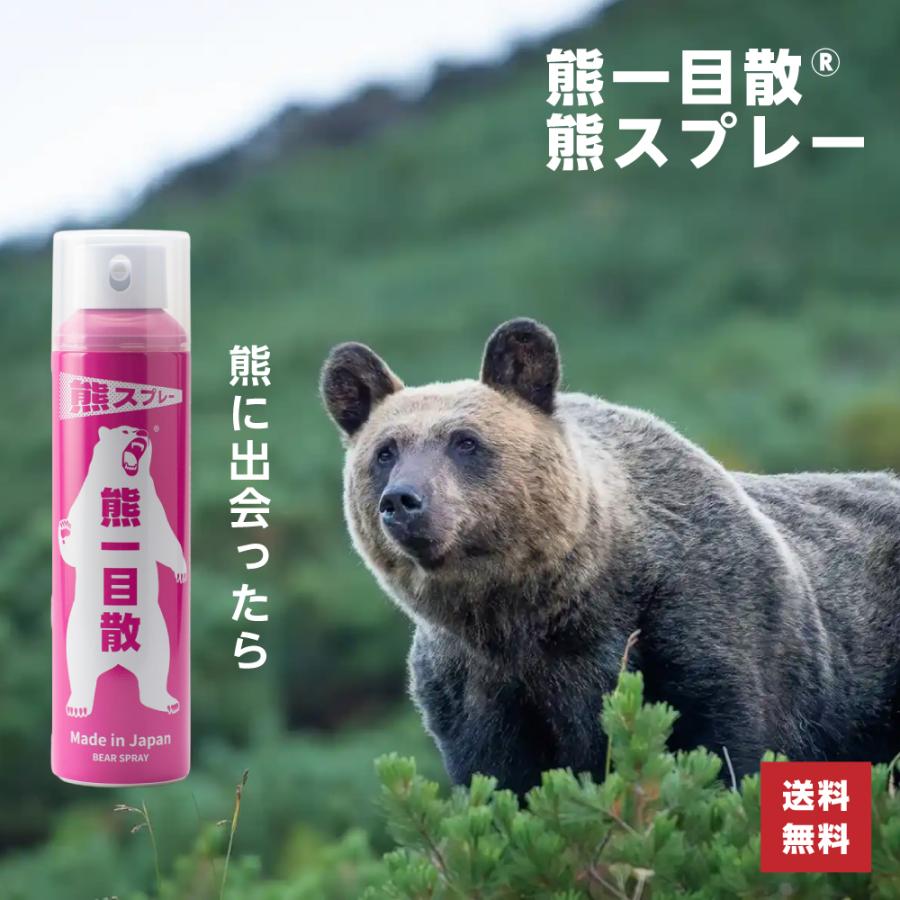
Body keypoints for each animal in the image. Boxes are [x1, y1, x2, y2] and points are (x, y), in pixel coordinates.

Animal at [58, 425, 186, 718]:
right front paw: (65, 529)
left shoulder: (155, 504)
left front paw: (181, 571)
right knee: (78, 669)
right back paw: (78, 706)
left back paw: (166, 702)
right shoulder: (85, 501)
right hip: (80, 636)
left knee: (158, 668)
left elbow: (166, 539)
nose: (141, 432)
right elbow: (74, 552)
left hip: (158, 636)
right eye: (125, 430)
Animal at [320, 318, 900, 796]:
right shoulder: (474, 686)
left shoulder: (698, 624)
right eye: (385, 451)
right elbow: (502, 780)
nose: (402, 500)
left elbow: (723, 750)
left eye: (465, 441)